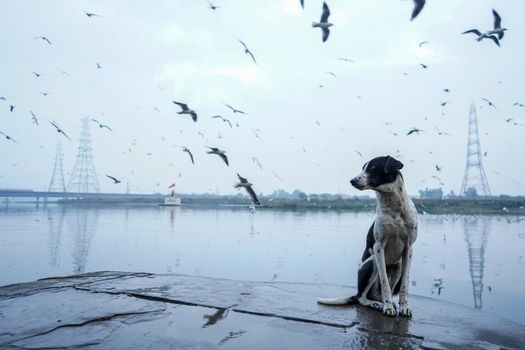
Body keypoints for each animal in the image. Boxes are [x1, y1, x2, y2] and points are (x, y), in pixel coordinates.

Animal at [316, 156, 418, 318]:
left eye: (373, 167)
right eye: (363, 168)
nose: (352, 181)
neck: (394, 208)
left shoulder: (409, 249)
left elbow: (404, 285)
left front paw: (404, 307)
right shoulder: (378, 247)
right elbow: (384, 282)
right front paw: (388, 308)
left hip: (398, 266)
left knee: (378, 293)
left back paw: (386, 302)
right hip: (372, 263)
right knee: (362, 298)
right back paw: (378, 304)